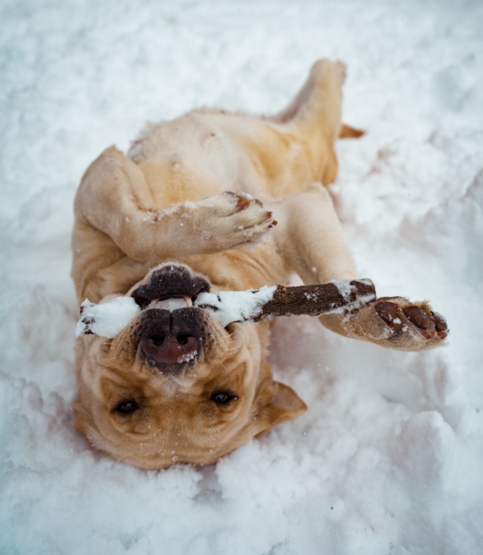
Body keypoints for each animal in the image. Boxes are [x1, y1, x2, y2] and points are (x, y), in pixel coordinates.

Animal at [71, 60, 448, 469]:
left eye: (223, 396)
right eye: (125, 405)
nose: (171, 348)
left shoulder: (101, 175)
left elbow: (133, 228)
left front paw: (389, 322)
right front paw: (386, 319)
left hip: (305, 131)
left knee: (322, 81)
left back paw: (335, 67)